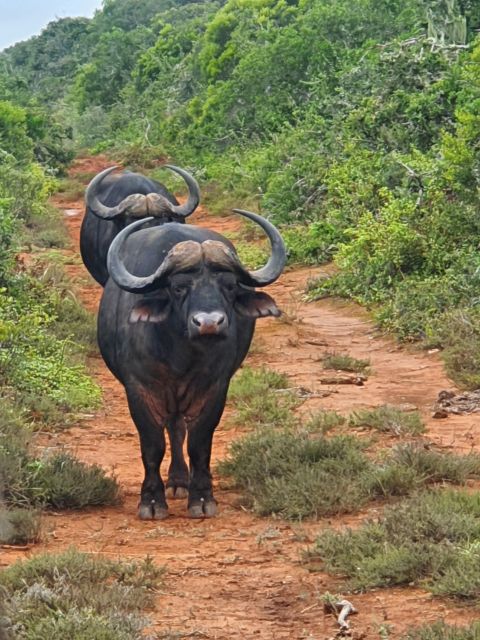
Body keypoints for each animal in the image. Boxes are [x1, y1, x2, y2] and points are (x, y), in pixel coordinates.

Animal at [97, 210, 284, 520]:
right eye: (178, 287)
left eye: (229, 286)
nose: (209, 323)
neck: (180, 356)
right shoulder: (139, 389)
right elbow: (152, 445)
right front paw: (151, 501)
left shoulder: (215, 388)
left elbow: (199, 443)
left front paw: (202, 498)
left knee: (178, 429)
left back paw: (179, 481)